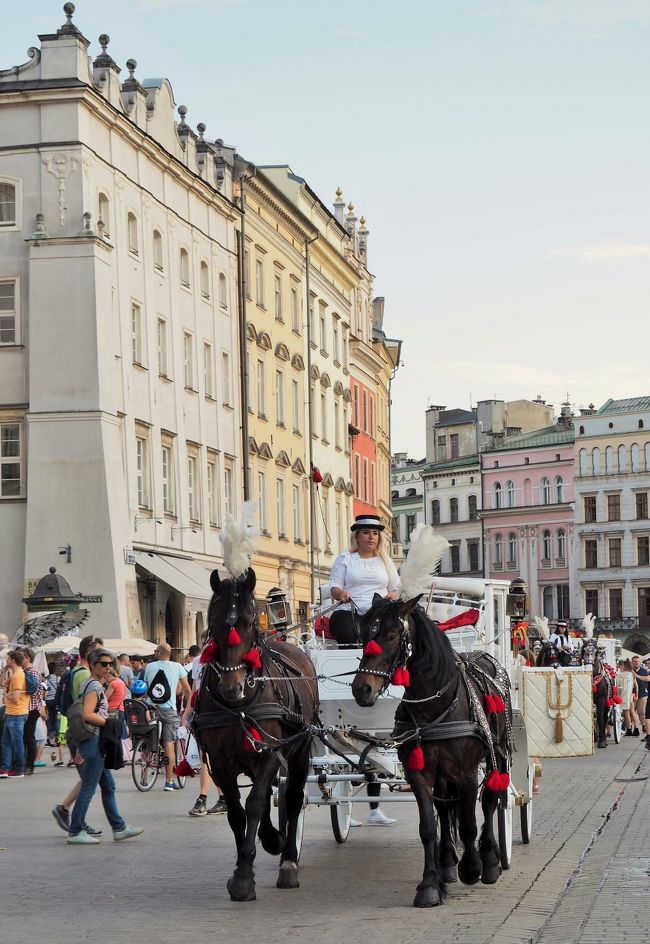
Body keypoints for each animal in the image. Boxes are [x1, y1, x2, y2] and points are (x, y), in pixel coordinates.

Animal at [192, 568, 318, 900]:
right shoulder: (221, 763)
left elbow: (256, 803)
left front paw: (245, 875)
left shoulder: (272, 754)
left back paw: (287, 861)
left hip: (299, 752)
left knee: (294, 798)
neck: (239, 706)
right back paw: (272, 837)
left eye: (250, 621)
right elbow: (237, 812)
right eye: (213, 622)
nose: (231, 688)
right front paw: (242, 868)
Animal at [350, 592, 512, 912]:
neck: (435, 705)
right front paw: (429, 884)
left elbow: (469, 824)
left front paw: (471, 868)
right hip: (443, 773)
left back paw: (489, 861)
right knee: (445, 809)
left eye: (391, 635)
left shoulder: (466, 773)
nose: (361, 690)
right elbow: (428, 827)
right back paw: (447, 864)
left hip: (497, 754)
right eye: (363, 636)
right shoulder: (419, 773)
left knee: (490, 800)